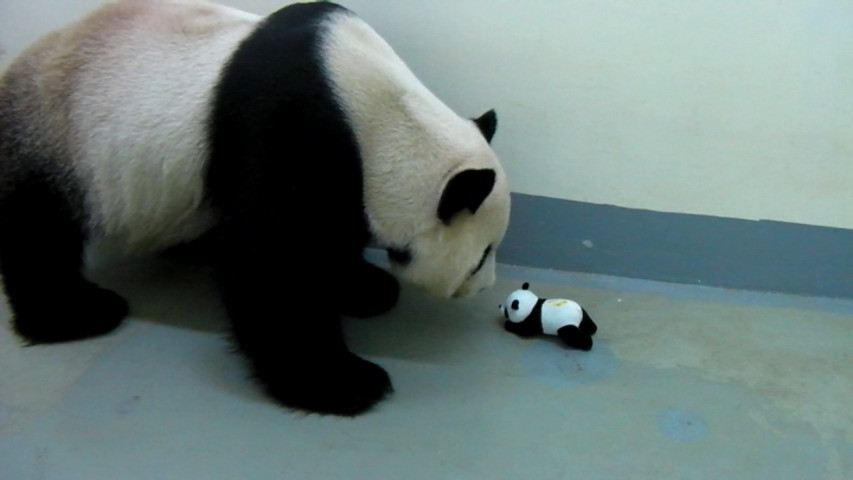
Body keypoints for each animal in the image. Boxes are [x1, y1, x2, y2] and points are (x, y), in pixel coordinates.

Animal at [0, 0, 506, 414]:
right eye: (482, 255)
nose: (485, 288)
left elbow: (331, 240)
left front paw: (366, 288)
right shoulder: (286, 127)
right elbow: (272, 263)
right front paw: (344, 382)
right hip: (58, 137)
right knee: (39, 232)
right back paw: (79, 312)